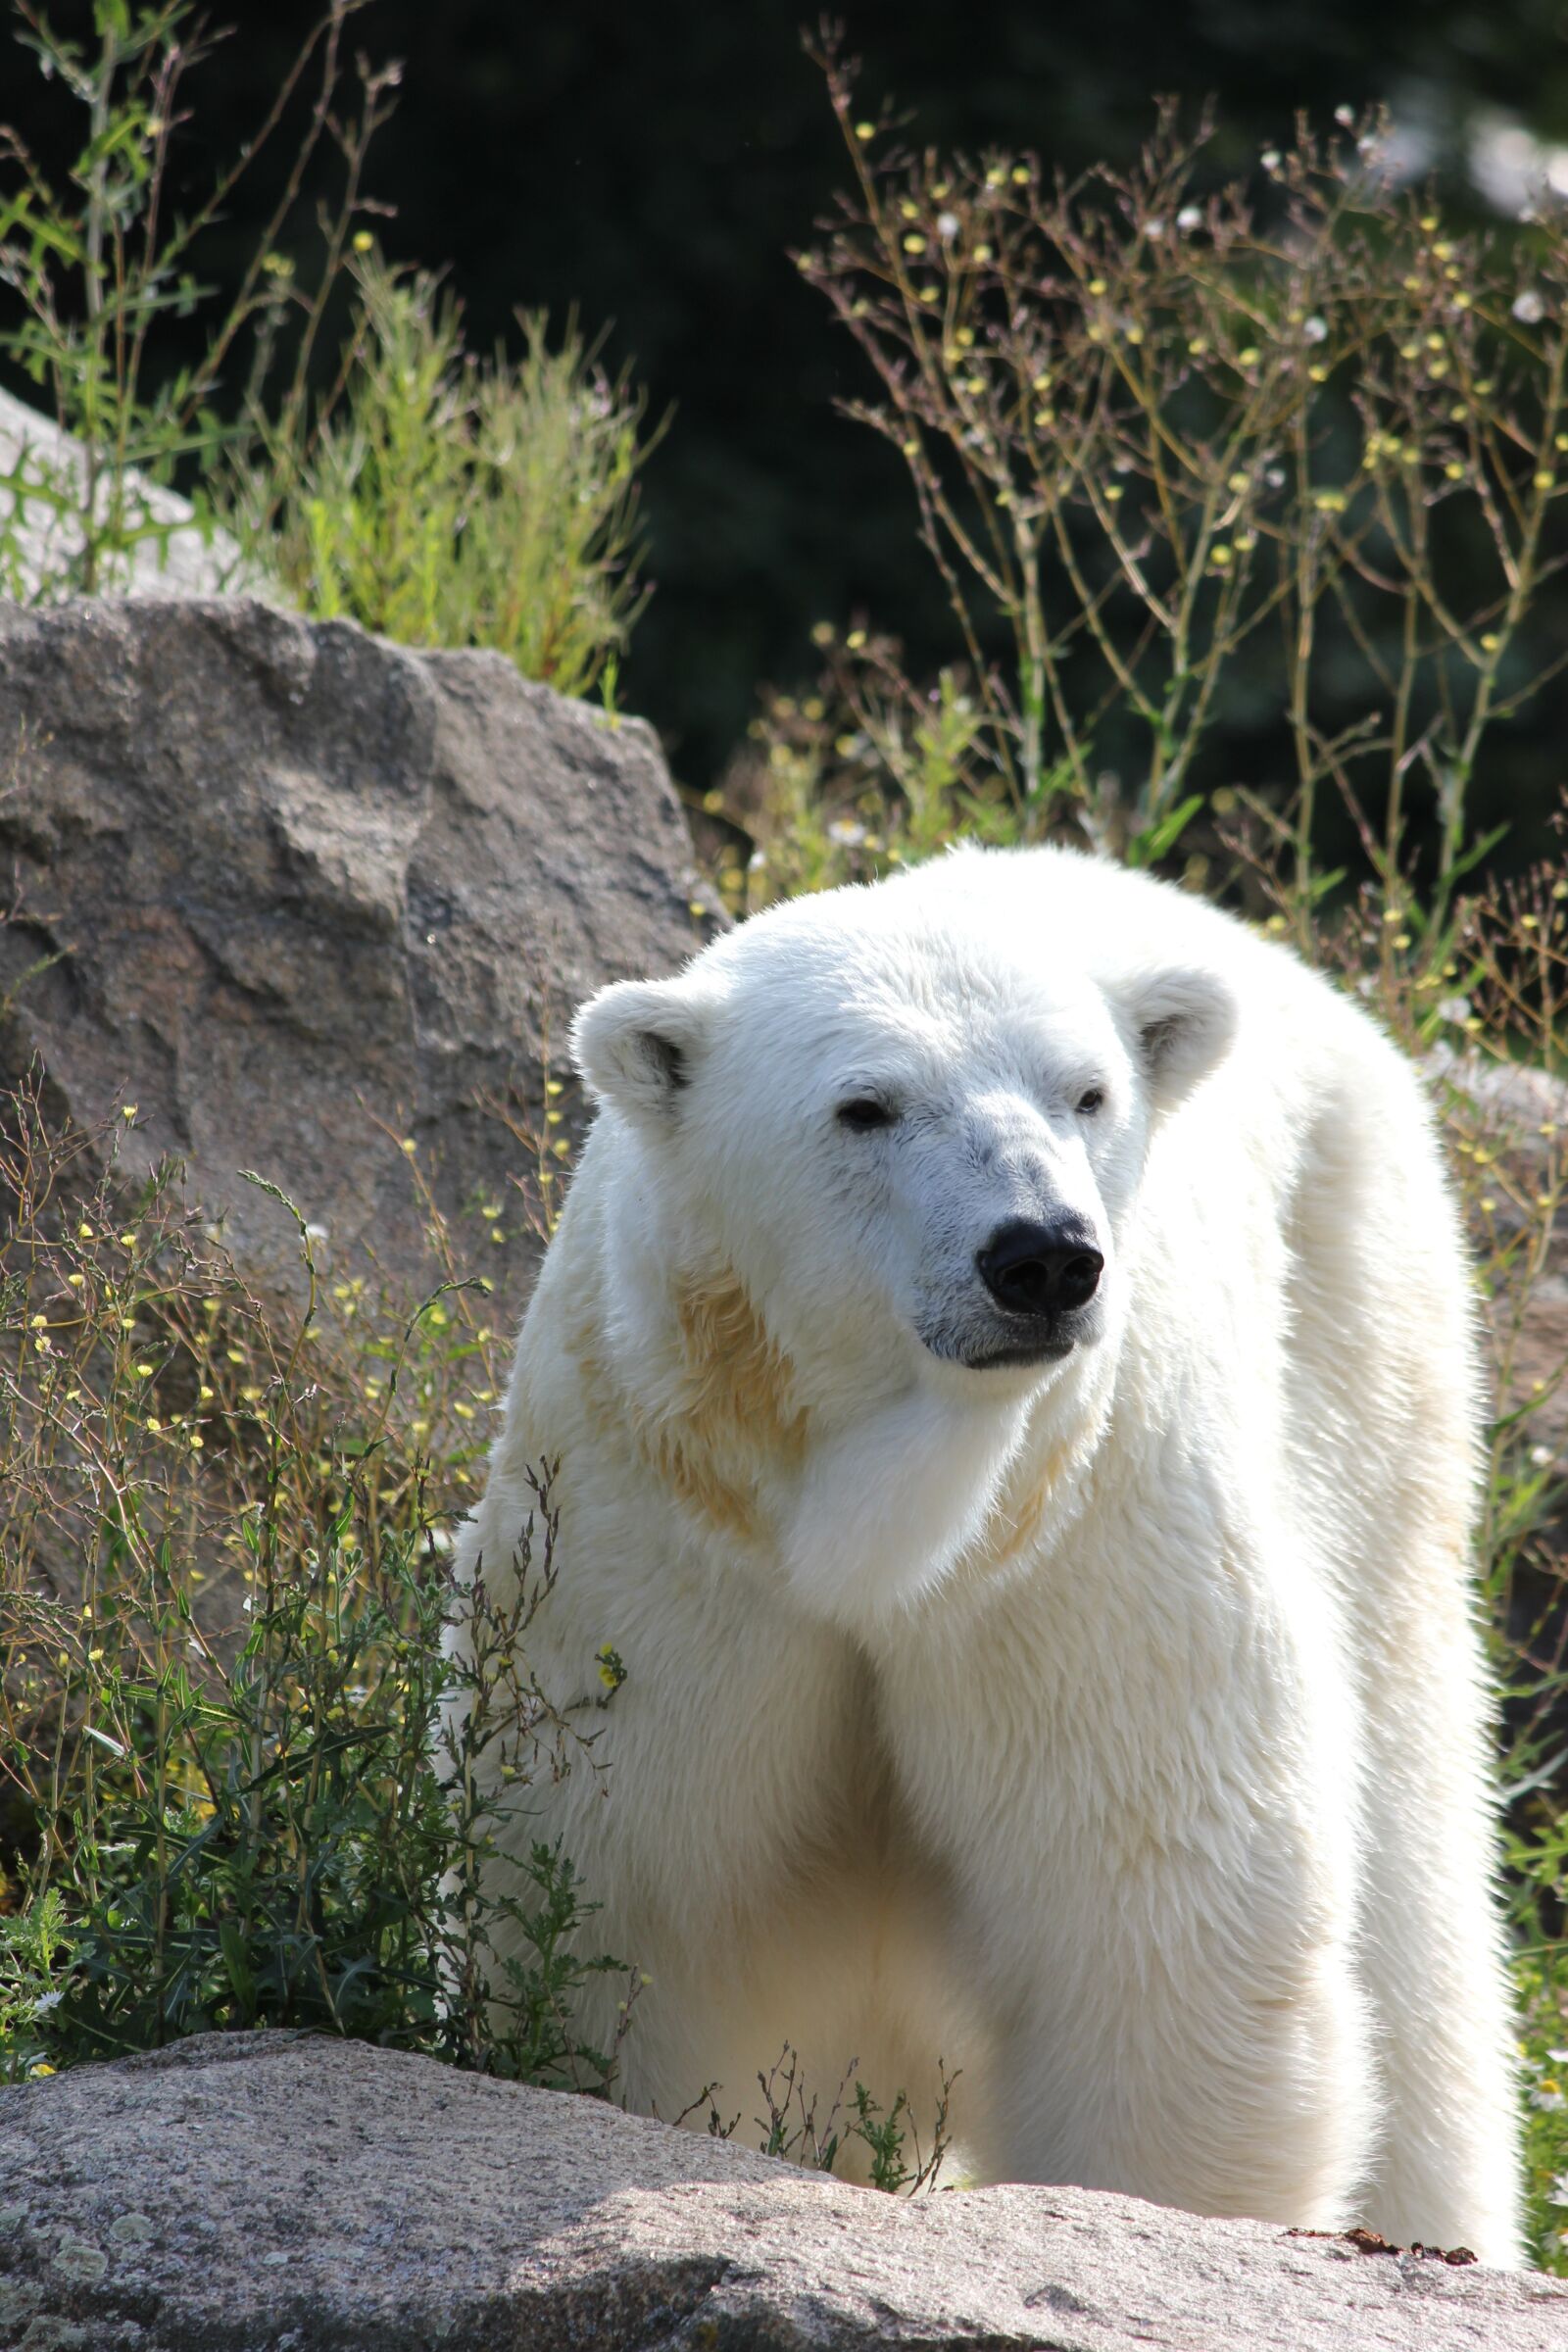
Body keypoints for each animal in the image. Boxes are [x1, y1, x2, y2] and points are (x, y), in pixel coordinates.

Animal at [450, 842, 1524, 2266]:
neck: (881, 1515)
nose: (1044, 1257)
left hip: (1363, 1336)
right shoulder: (659, 1533)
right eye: (865, 1107)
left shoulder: (1073, 1543)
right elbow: (636, 1891)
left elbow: (1149, 1907)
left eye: (1088, 1092)